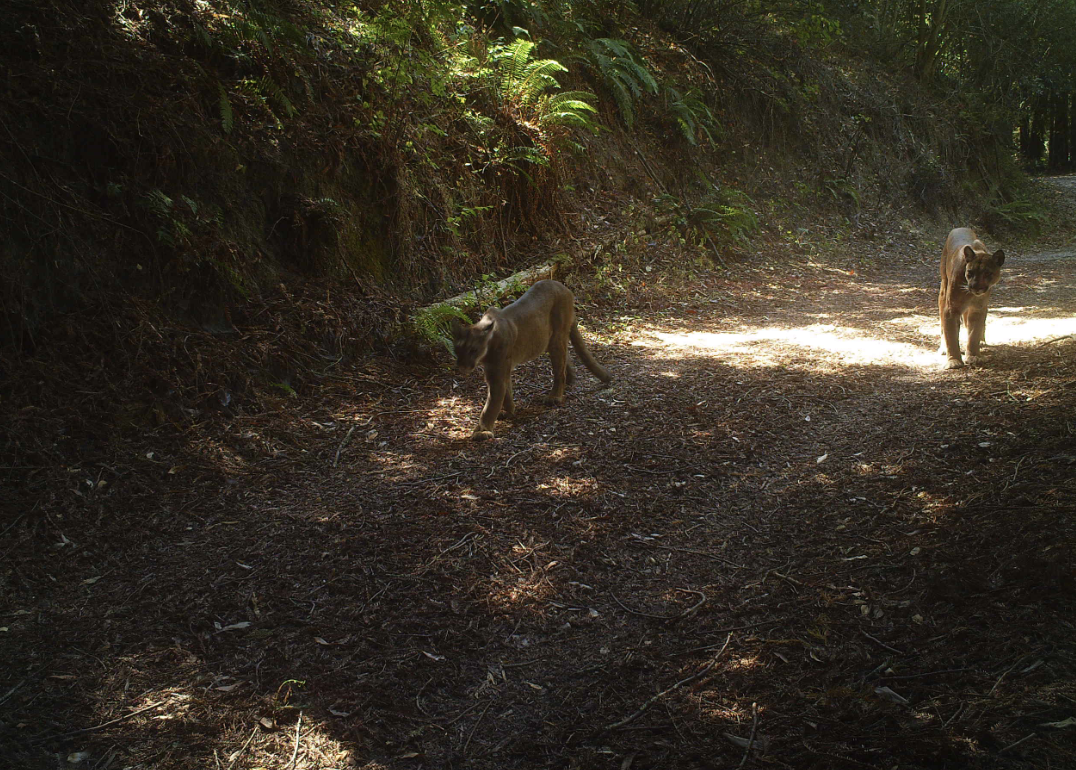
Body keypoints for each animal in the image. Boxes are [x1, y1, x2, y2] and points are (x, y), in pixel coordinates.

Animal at [449, 281, 611, 438]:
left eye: (473, 350)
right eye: (457, 350)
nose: (462, 366)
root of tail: (564, 287)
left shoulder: (497, 372)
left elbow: (492, 402)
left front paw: (482, 431)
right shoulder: (495, 370)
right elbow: (506, 390)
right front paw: (509, 411)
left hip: (557, 336)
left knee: (559, 368)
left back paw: (555, 396)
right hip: (548, 339)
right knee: (565, 357)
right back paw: (570, 379)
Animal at [938, 225, 1002, 369]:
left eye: (987, 273)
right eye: (970, 272)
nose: (975, 287)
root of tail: (959, 227)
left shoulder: (978, 309)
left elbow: (974, 334)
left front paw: (973, 356)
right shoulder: (951, 309)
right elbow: (951, 335)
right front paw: (953, 361)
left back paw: (982, 342)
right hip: (943, 291)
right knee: (943, 327)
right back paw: (943, 348)